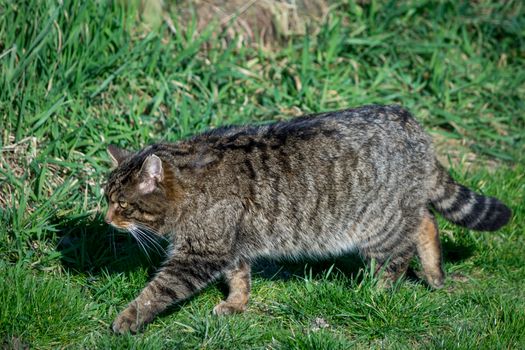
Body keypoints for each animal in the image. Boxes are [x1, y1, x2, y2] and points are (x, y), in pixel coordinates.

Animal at [104, 104, 510, 334]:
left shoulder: (201, 253)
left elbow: (157, 291)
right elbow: (239, 277)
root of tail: (414, 125)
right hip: (402, 208)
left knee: (398, 255)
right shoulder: (231, 246)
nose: (107, 220)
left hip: (380, 225)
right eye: (105, 199)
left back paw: (377, 293)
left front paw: (128, 319)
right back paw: (435, 273)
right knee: (426, 219)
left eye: (122, 204)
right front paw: (237, 303)